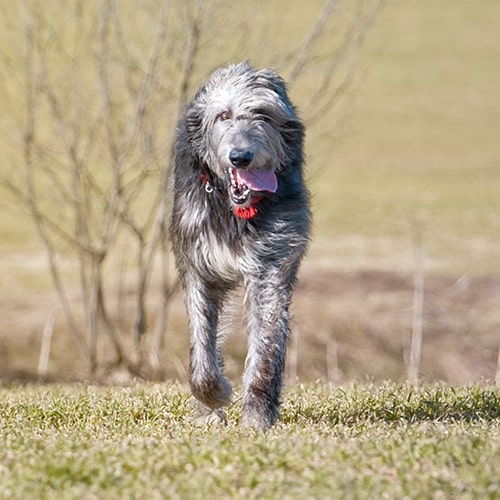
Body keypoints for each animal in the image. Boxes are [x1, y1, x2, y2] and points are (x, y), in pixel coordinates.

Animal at [169, 61, 310, 429]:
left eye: (263, 115)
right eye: (223, 116)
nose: (241, 157)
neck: (235, 209)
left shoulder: (270, 264)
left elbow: (266, 345)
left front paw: (257, 415)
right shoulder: (198, 263)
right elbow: (202, 340)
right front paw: (212, 396)